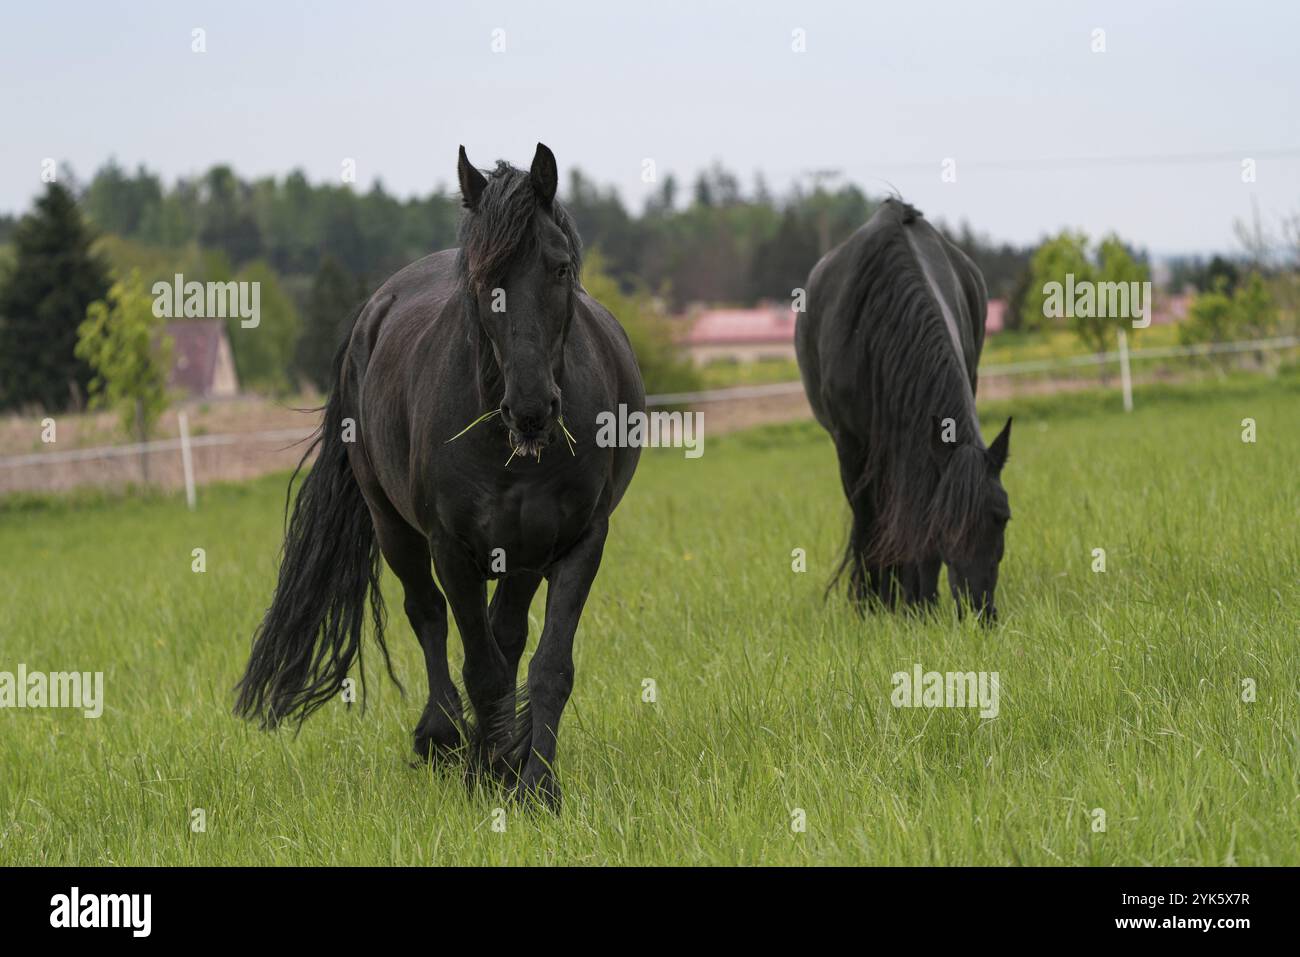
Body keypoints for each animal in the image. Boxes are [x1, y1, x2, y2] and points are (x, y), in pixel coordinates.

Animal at [237, 141, 644, 806]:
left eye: (559, 269)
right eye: (482, 281)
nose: (530, 408)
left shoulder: (577, 543)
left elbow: (548, 666)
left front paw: (534, 782)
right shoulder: (452, 548)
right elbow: (478, 665)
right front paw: (490, 770)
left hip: (520, 556)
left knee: (506, 636)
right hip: (394, 528)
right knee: (427, 614)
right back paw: (444, 737)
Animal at [795, 200, 1008, 621]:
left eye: (1002, 518)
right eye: (945, 527)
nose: (979, 612)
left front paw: (919, 602)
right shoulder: (850, 444)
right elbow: (868, 519)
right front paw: (873, 604)